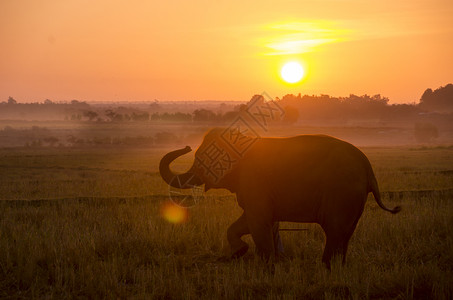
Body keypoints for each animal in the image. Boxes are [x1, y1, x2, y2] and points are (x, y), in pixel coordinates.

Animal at [159, 127, 400, 268]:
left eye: (202, 158)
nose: (186, 145)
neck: (242, 141)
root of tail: (368, 169)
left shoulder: (255, 182)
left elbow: (258, 222)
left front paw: (267, 267)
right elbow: (252, 222)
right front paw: (241, 253)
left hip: (342, 194)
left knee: (334, 231)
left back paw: (326, 266)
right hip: (354, 200)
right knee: (346, 234)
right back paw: (339, 266)